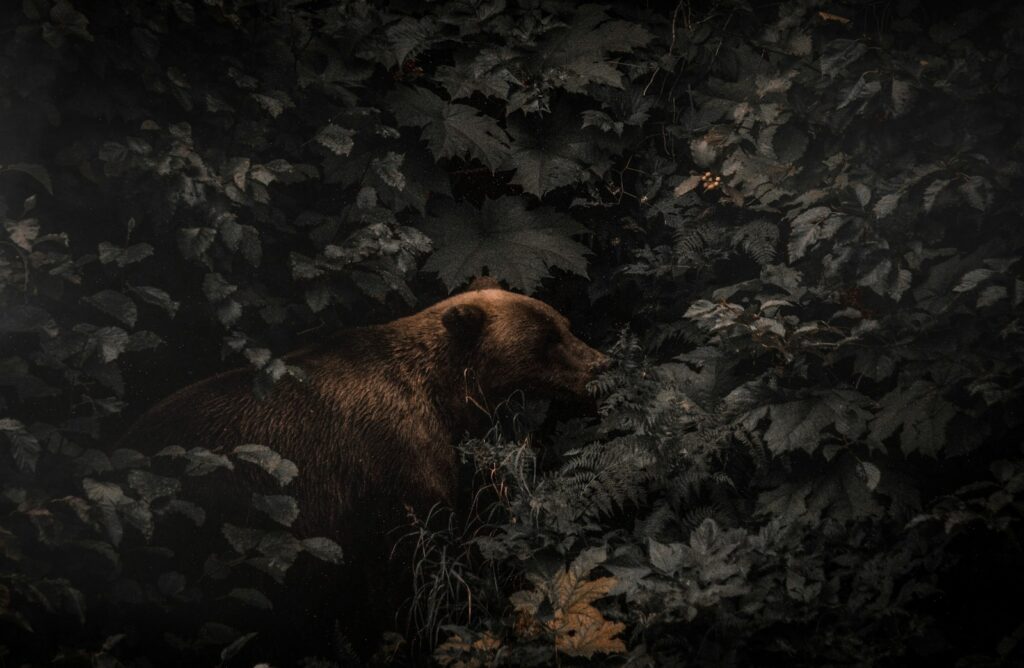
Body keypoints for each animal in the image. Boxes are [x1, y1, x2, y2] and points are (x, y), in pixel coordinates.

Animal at [115, 282, 608, 658]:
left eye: (563, 325)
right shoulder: (392, 467)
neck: (444, 396)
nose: (602, 363)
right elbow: (412, 568)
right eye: (547, 339)